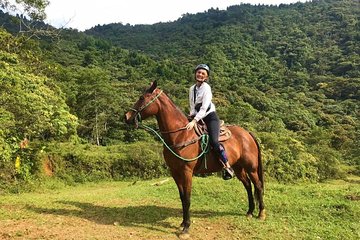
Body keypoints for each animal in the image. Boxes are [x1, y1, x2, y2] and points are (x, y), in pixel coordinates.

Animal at [125, 80, 266, 236]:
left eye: (142, 98)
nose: (126, 116)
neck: (180, 135)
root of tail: (247, 133)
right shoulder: (175, 172)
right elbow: (182, 197)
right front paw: (182, 223)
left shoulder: (187, 172)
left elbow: (187, 198)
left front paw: (186, 227)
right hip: (238, 167)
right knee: (247, 185)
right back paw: (249, 211)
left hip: (251, 167)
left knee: (258, 185)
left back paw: (261, 213)